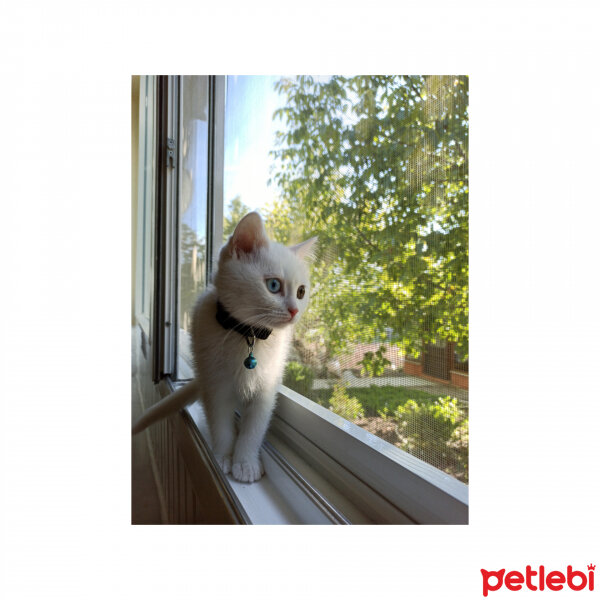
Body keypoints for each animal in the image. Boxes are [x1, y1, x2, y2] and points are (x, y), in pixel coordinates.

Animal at [133, 213, 316, 486]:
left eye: (301, 291)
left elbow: (254, 427)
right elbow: (220, 422)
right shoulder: (215, 383)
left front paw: (245, 463)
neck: (247, 335)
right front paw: (222, 458)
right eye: (273, 285)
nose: (294, 310)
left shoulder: (266, 386)